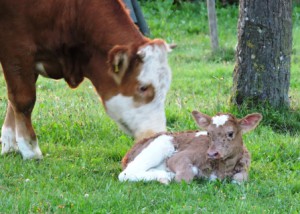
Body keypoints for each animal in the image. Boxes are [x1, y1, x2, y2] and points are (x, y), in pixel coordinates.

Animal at [0, 0, 172, 160]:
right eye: (142, 88)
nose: (155, 134)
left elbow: (12, 101)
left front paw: (10, 143)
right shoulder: (16, 47)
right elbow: (23, 99)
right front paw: (29, 149)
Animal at [118, 110, 262, 184]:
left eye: (230, 133)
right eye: (209, 133)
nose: (212, 153)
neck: (222, 169)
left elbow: (240, 179)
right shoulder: (178, 157)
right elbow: (184, 177)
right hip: (161, 143)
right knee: (125, 174)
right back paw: (166, 176)